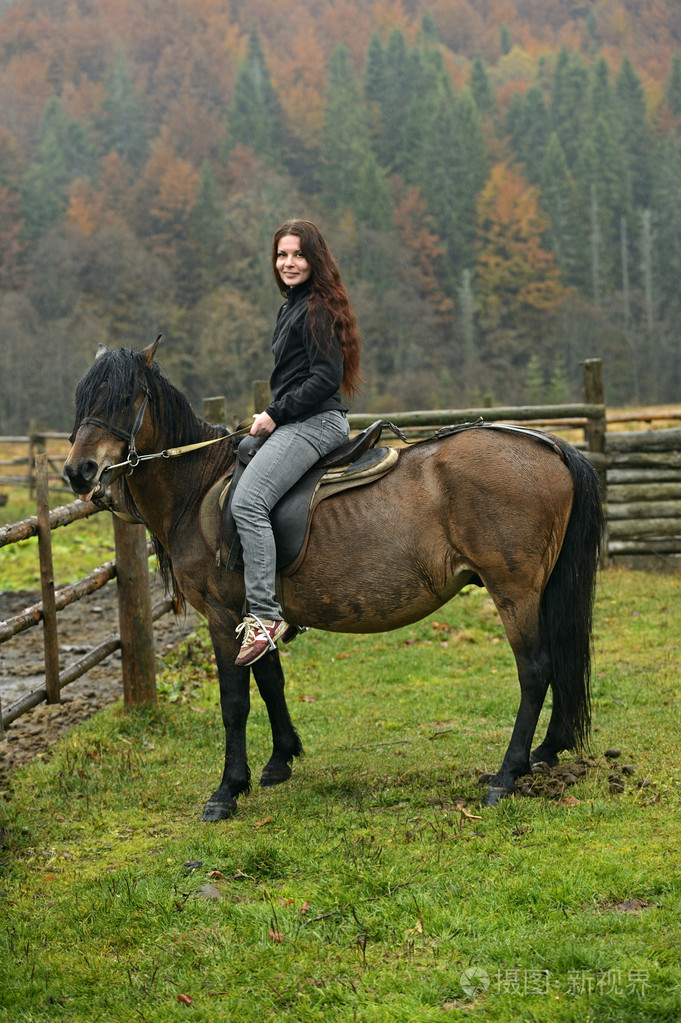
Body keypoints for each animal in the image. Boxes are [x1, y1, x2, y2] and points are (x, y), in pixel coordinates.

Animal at [63, 339, 601, 818]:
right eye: (82, 399)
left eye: (128, 398)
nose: (78, 471)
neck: (197, 489)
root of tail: (548, 443)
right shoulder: (256, 613)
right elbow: (270, 680)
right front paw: (280, 759)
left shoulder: (221, 614)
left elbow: (234, 701)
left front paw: (227, 789)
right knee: (559, 659)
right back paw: (547, 751)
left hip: (513, 590)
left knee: (535, 670)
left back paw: (507, 774)